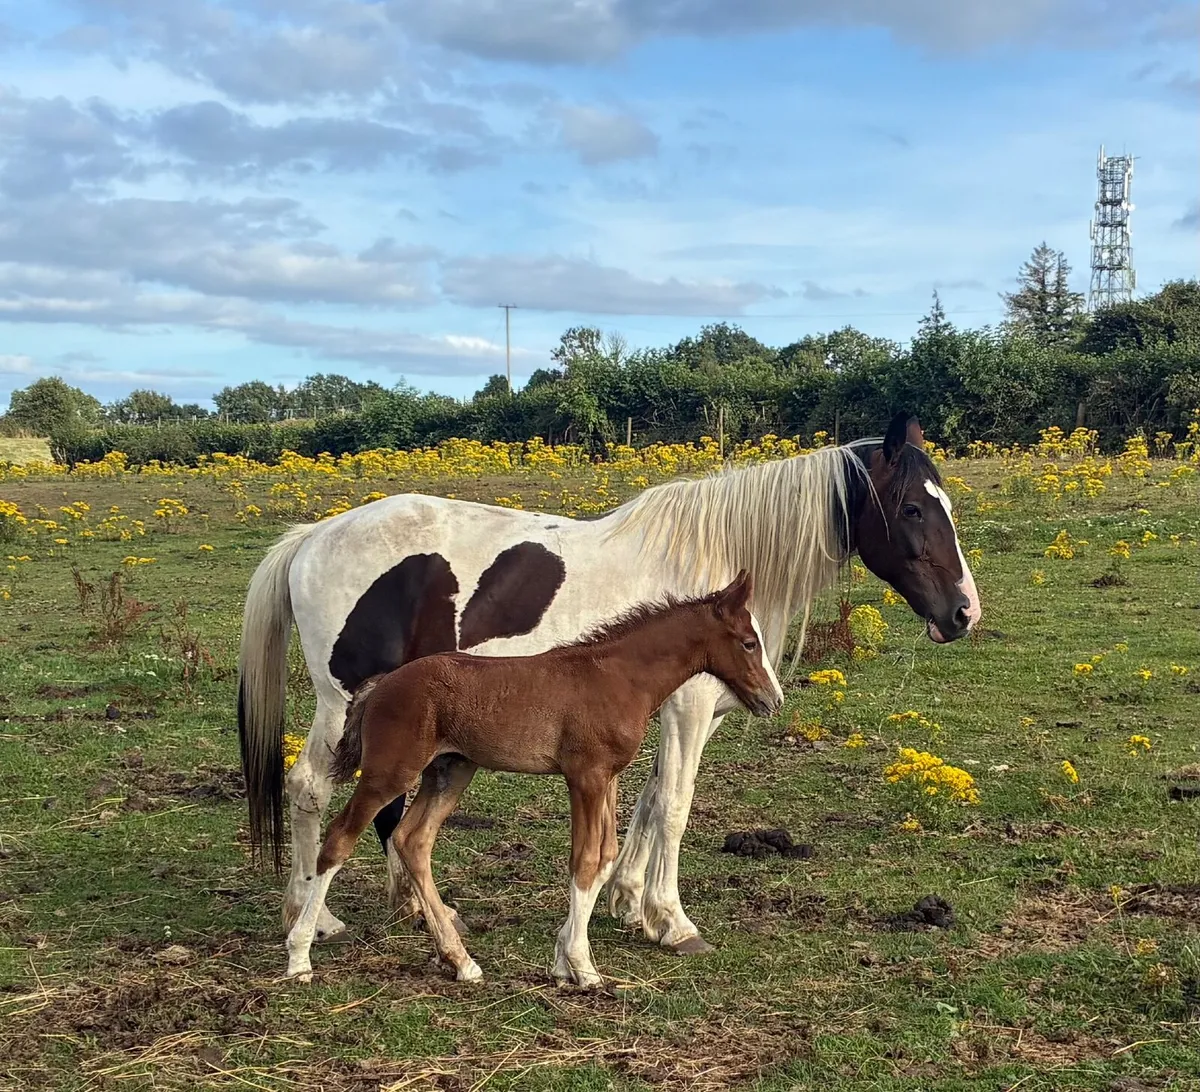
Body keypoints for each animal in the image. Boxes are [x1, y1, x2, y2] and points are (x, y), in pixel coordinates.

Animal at [284, 571, 784, 986]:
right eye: (747, 643)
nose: (772, 699)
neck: (619, 676)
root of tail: (380, 684)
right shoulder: (585, 776)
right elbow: (585, 861)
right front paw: (582, 967)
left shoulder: (607, 779)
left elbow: (605, 856)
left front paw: (564, 960)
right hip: (389, 772)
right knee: (340, 839)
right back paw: (300, 955)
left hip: (450, 771)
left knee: (413, 841)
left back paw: (460, 960)